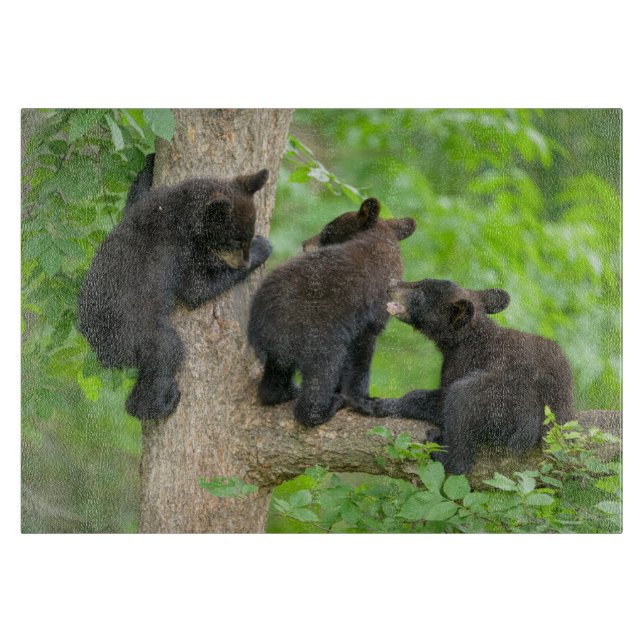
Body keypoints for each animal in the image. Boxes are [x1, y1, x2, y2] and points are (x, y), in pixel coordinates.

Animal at [78, 154, 272, 421]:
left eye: (247, 234)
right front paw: (262, 249)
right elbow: (195, 288)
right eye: (235, 241)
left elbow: (134, 198)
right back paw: (159, 404)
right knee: (166, 352)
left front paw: (150, 160)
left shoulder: (147, 204)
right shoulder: (179, 249)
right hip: (139, 332)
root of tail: (102, 353)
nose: (244, 261)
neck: (183, 209)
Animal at [247, 197, 416, 427]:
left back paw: (284, 392)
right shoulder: (368, 314)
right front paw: (363, 400)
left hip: (281, 351)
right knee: (323, 374)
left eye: (327, 230)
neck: (381, 241)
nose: (304, 244)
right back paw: (326, 407)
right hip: (317, 338)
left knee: (275, 379)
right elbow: (361, 355)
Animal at [348, 278, 574, 474]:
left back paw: (441, 451)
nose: (392, 283)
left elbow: (438, 398)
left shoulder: (463, 362)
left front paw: (378, 404)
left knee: (461, 401)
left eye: (420, 293)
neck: (466, 338)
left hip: (502, 398)